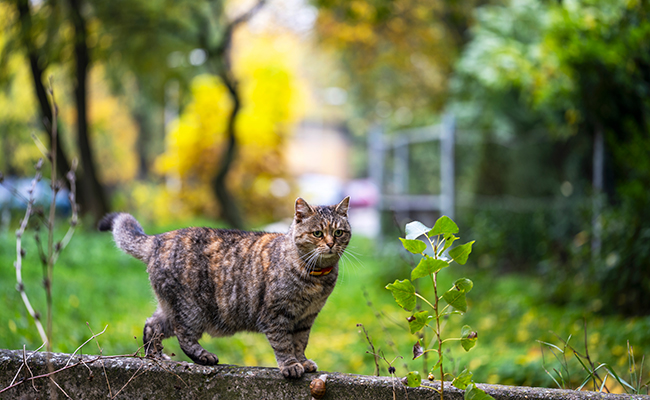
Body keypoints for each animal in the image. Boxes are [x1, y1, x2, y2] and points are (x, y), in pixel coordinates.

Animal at [97, 197, 350, 378]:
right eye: (317, 233)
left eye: (339, 232)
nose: (330, 244)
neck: (315, 280)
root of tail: (158, 239)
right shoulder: (275, 315)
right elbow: (284, 344)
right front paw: (291, 366)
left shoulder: (306, 318)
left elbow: (299, 342)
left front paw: (303, 362)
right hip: (191, 309)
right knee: (183, 335)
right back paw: (203, 357)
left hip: (171, 308)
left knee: (152, 325)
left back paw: (156, 358)